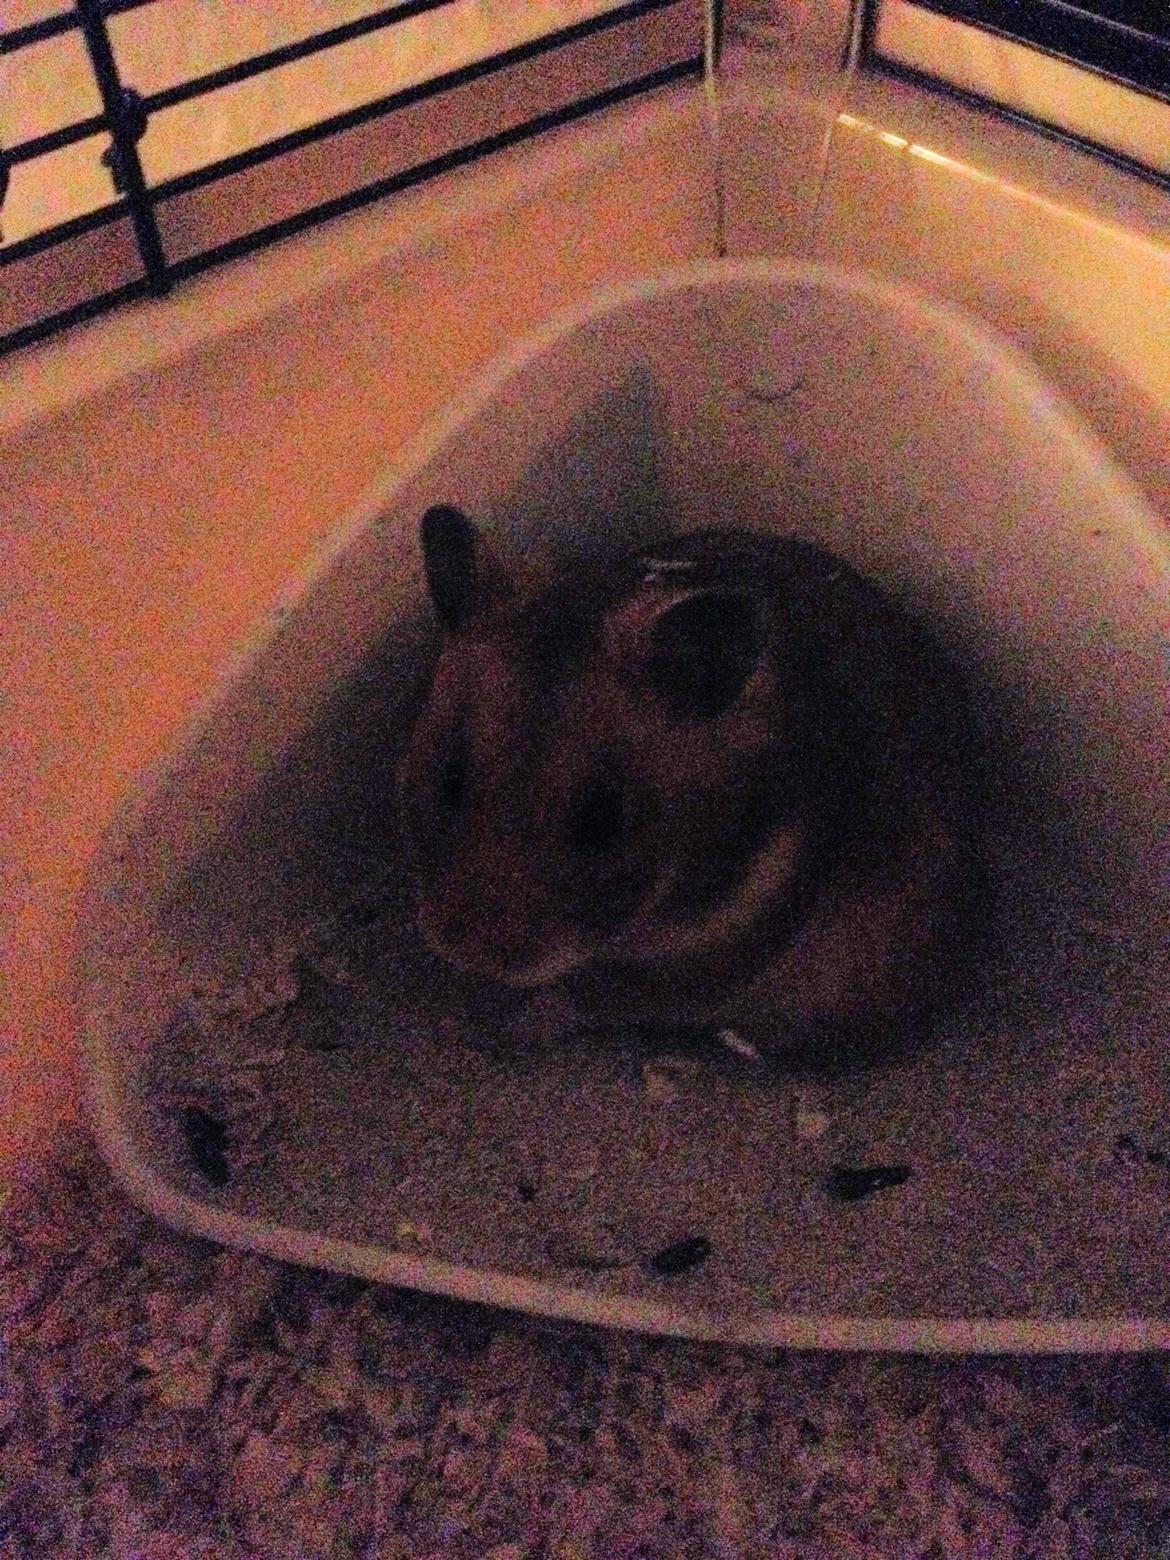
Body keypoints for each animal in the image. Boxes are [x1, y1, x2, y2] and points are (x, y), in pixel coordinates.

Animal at [397, 504, 987, 1062]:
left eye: (602, 821)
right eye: (448, 778)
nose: (469, 955)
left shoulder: (691, 971)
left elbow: (578, 1001)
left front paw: (490, 1030)